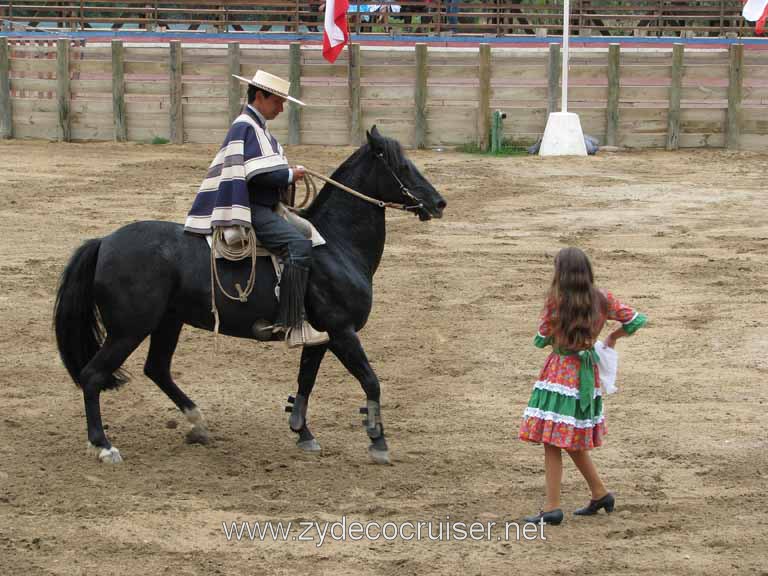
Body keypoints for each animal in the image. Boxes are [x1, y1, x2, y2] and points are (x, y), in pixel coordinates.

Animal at [54, 128, 448, 466]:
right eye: (401, 165)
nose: (438, 202)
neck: (336, 245)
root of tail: (104, 241)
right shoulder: (342, 332)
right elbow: (370, 381)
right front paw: (378, 441)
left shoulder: (320, 337)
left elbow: (305, 382)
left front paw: (303, 433)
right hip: (129, 330)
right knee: (93, 375)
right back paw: (103, 445)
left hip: (167, 323)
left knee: (157, 369)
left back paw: (198, 424)